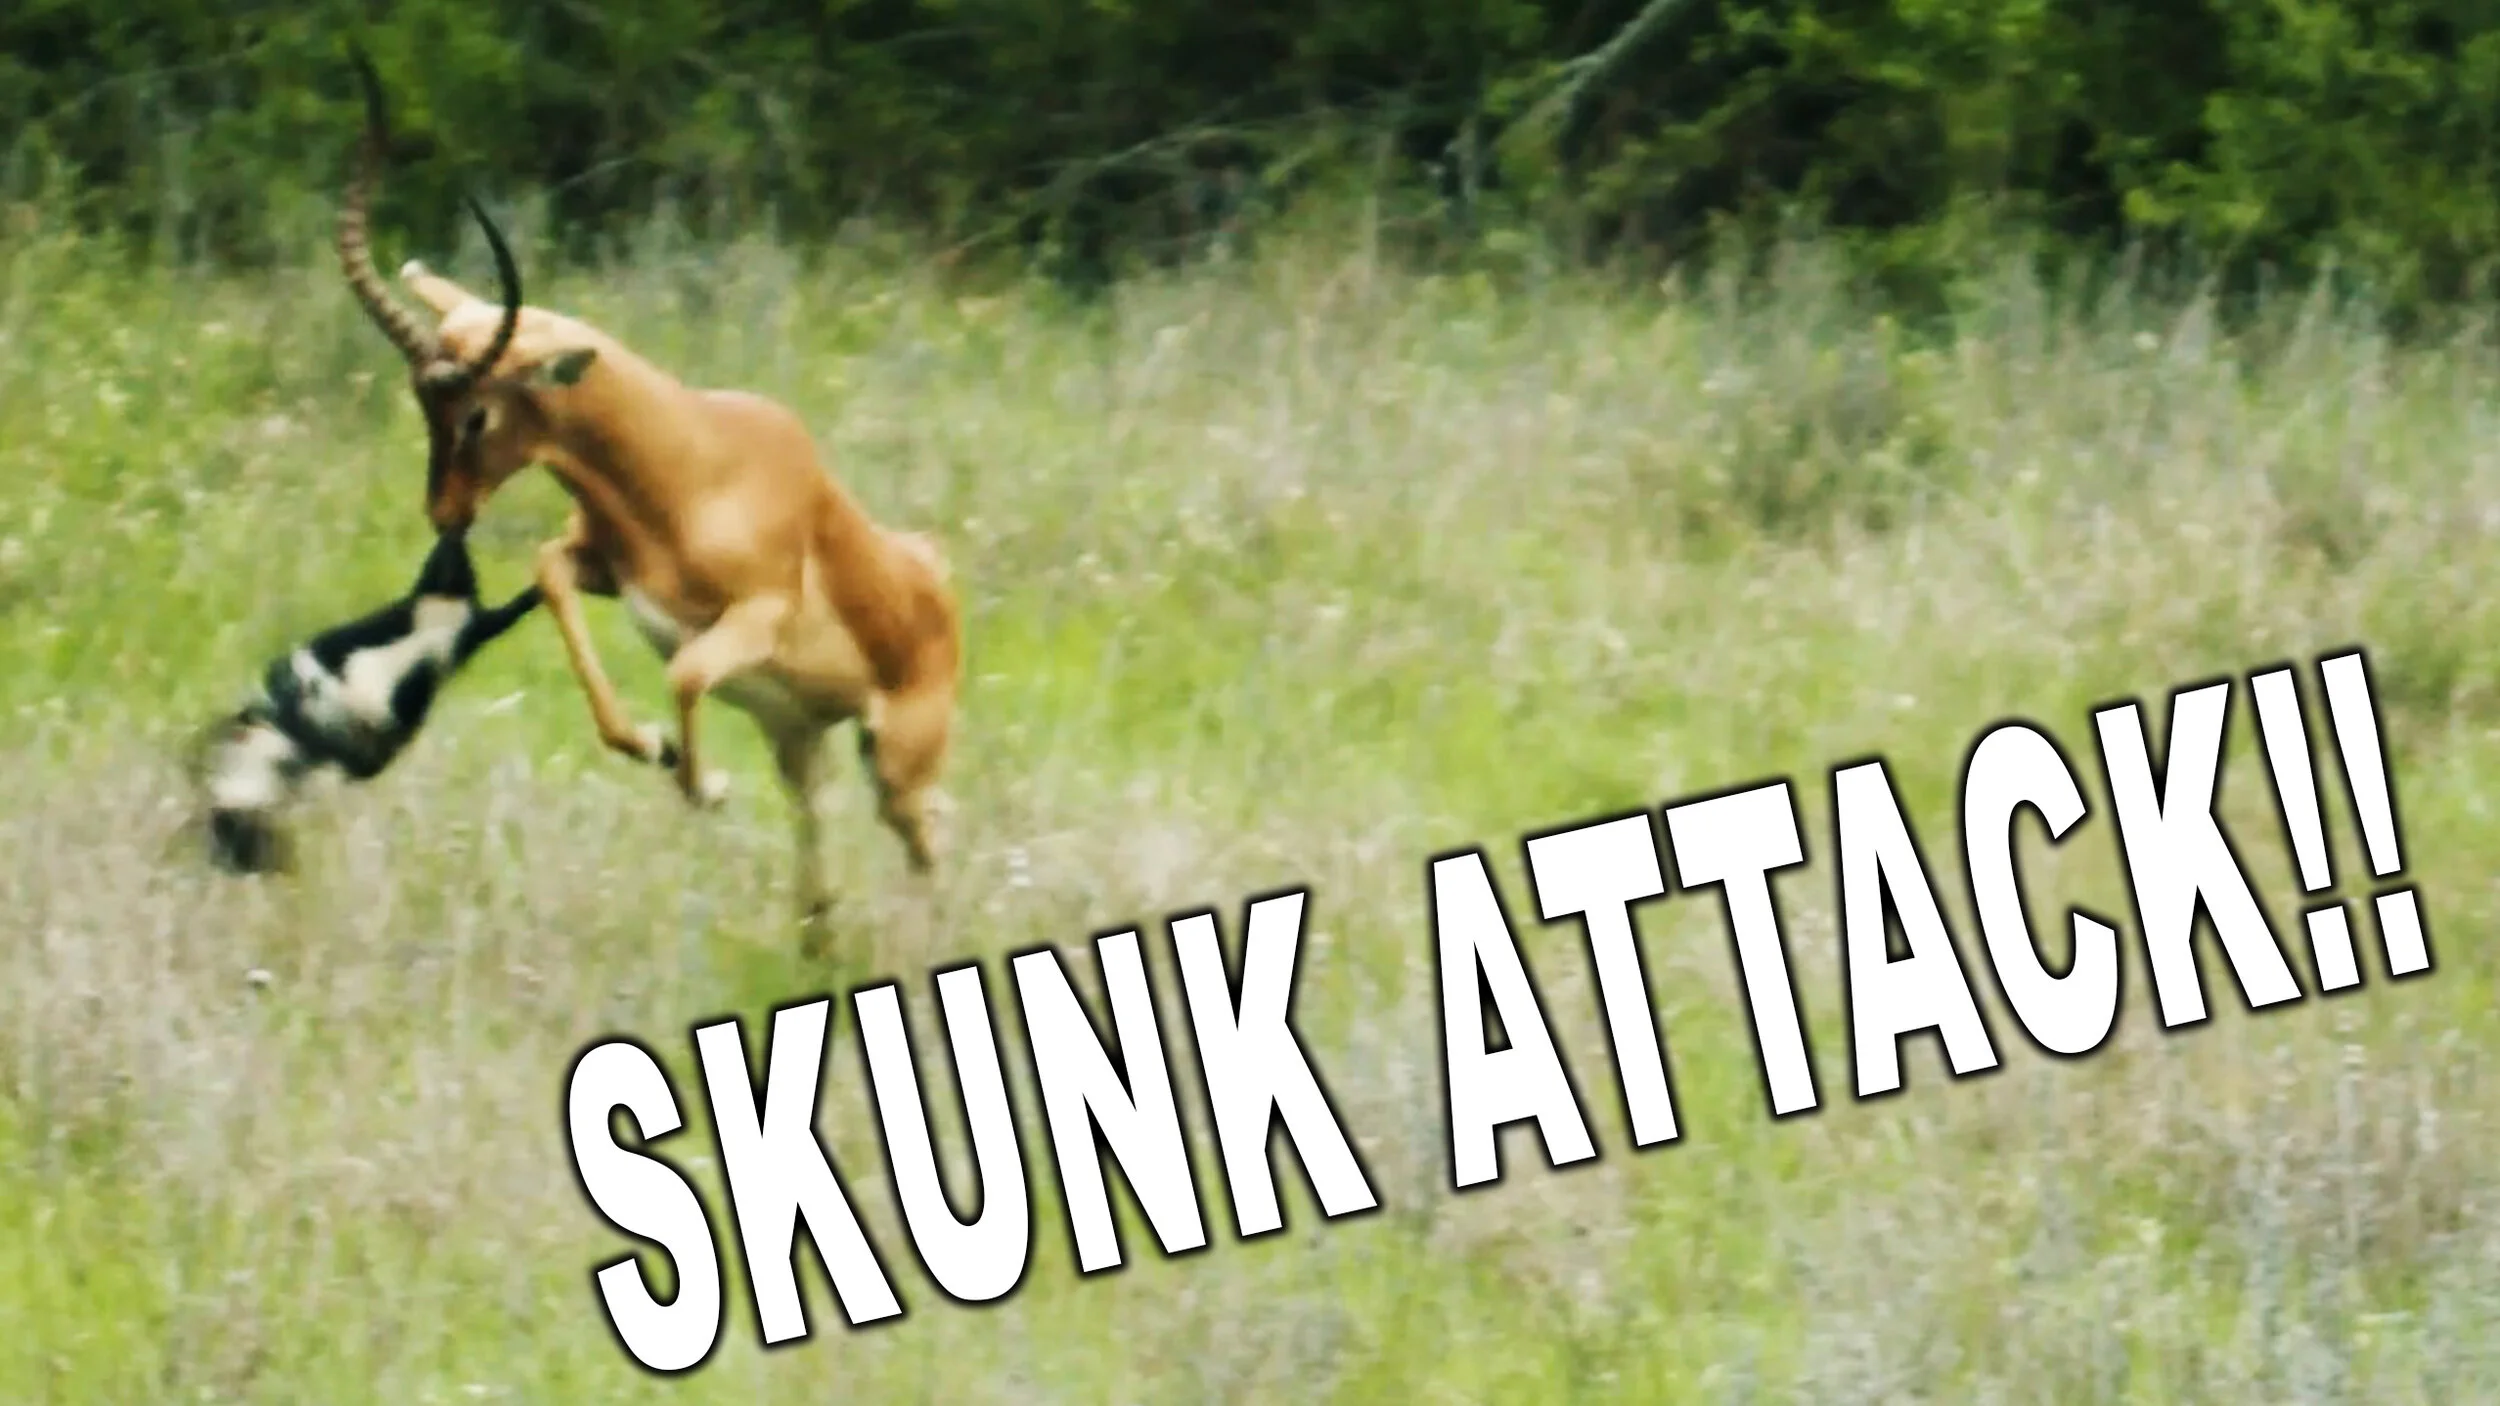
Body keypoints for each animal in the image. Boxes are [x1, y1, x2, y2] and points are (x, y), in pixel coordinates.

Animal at [332, 48, 962, 954]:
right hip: (800, 737)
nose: (444, 515)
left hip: (896, 761)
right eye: (421, 403)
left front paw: (705, 784)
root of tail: (935, 582)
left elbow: (688, 672)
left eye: (476, 412)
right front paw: (652, 747)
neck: (693, 468)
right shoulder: (603, 567)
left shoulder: (755, 615)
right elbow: (551, 572)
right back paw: (815, 936)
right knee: (824, 820)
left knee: (932, 831)